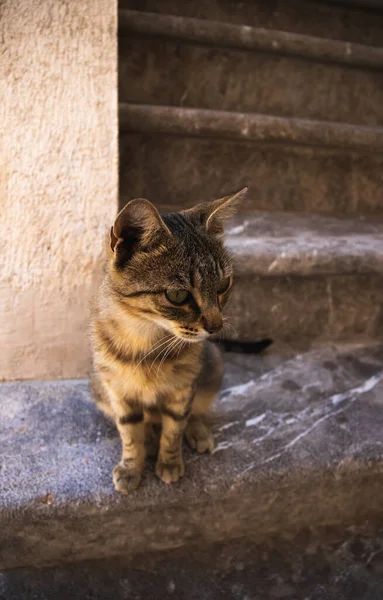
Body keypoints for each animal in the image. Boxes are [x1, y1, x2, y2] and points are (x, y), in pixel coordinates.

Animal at [91, 188, 250, 492]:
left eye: (223, 286)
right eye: (178, 295)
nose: (216, 326)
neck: (146, 340)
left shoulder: (184, 388)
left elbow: (174, 428)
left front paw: (170, 462)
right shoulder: (118, 391)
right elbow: (130, 433)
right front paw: (132, 467)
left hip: (213, 366)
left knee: (196, 411)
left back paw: (197, 432)